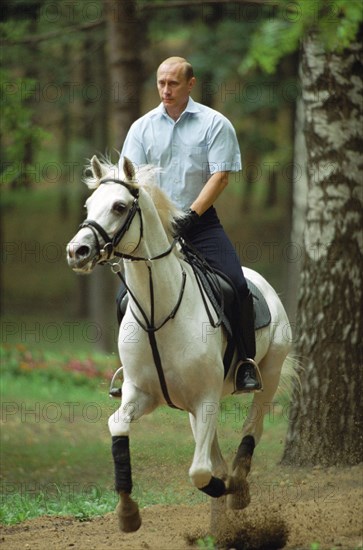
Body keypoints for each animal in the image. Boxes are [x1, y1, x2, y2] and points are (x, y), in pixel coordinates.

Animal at [66, 157, 292, 536]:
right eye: (88, 205)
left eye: (119, 206)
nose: (76, 252)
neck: (159, 312)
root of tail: (262, 282)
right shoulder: (141, 394)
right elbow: (117, 426)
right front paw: (128, 512)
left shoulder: (206, 399)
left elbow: (199, 472)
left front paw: (226, 489)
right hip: (194, 405)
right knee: (214, 449)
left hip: (269, 372)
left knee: (252, 427)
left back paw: (237, 487)